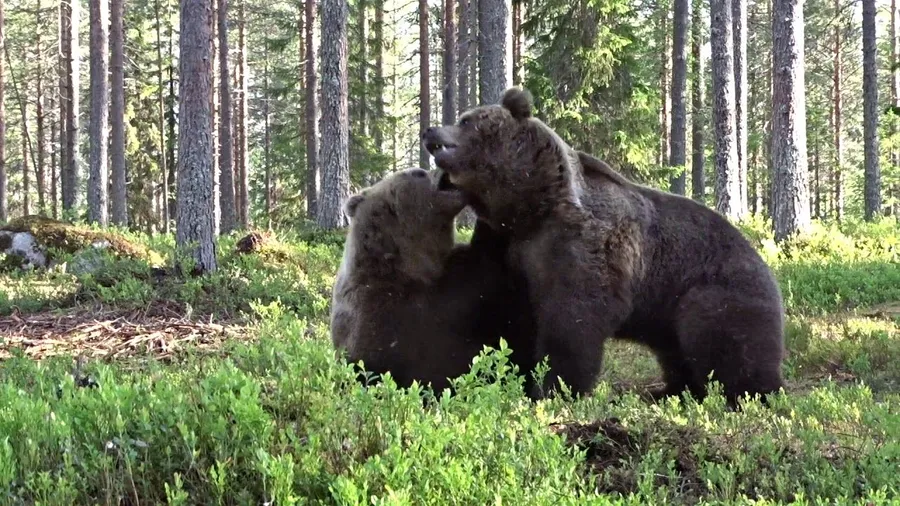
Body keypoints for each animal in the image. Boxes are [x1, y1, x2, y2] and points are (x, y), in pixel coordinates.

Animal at [421, 87, 786, 407]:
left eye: (465, 120)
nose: (429, 129)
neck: (532, 207)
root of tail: (764, 262)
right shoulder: (514, 251)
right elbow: (508, 311)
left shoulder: (584, 246)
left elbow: (574, 320)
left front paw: (555, 388)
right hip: (669, 312)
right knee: (676, 352)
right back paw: (671, 391)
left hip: (713, 289)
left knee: (727, 343)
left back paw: (751, 394)